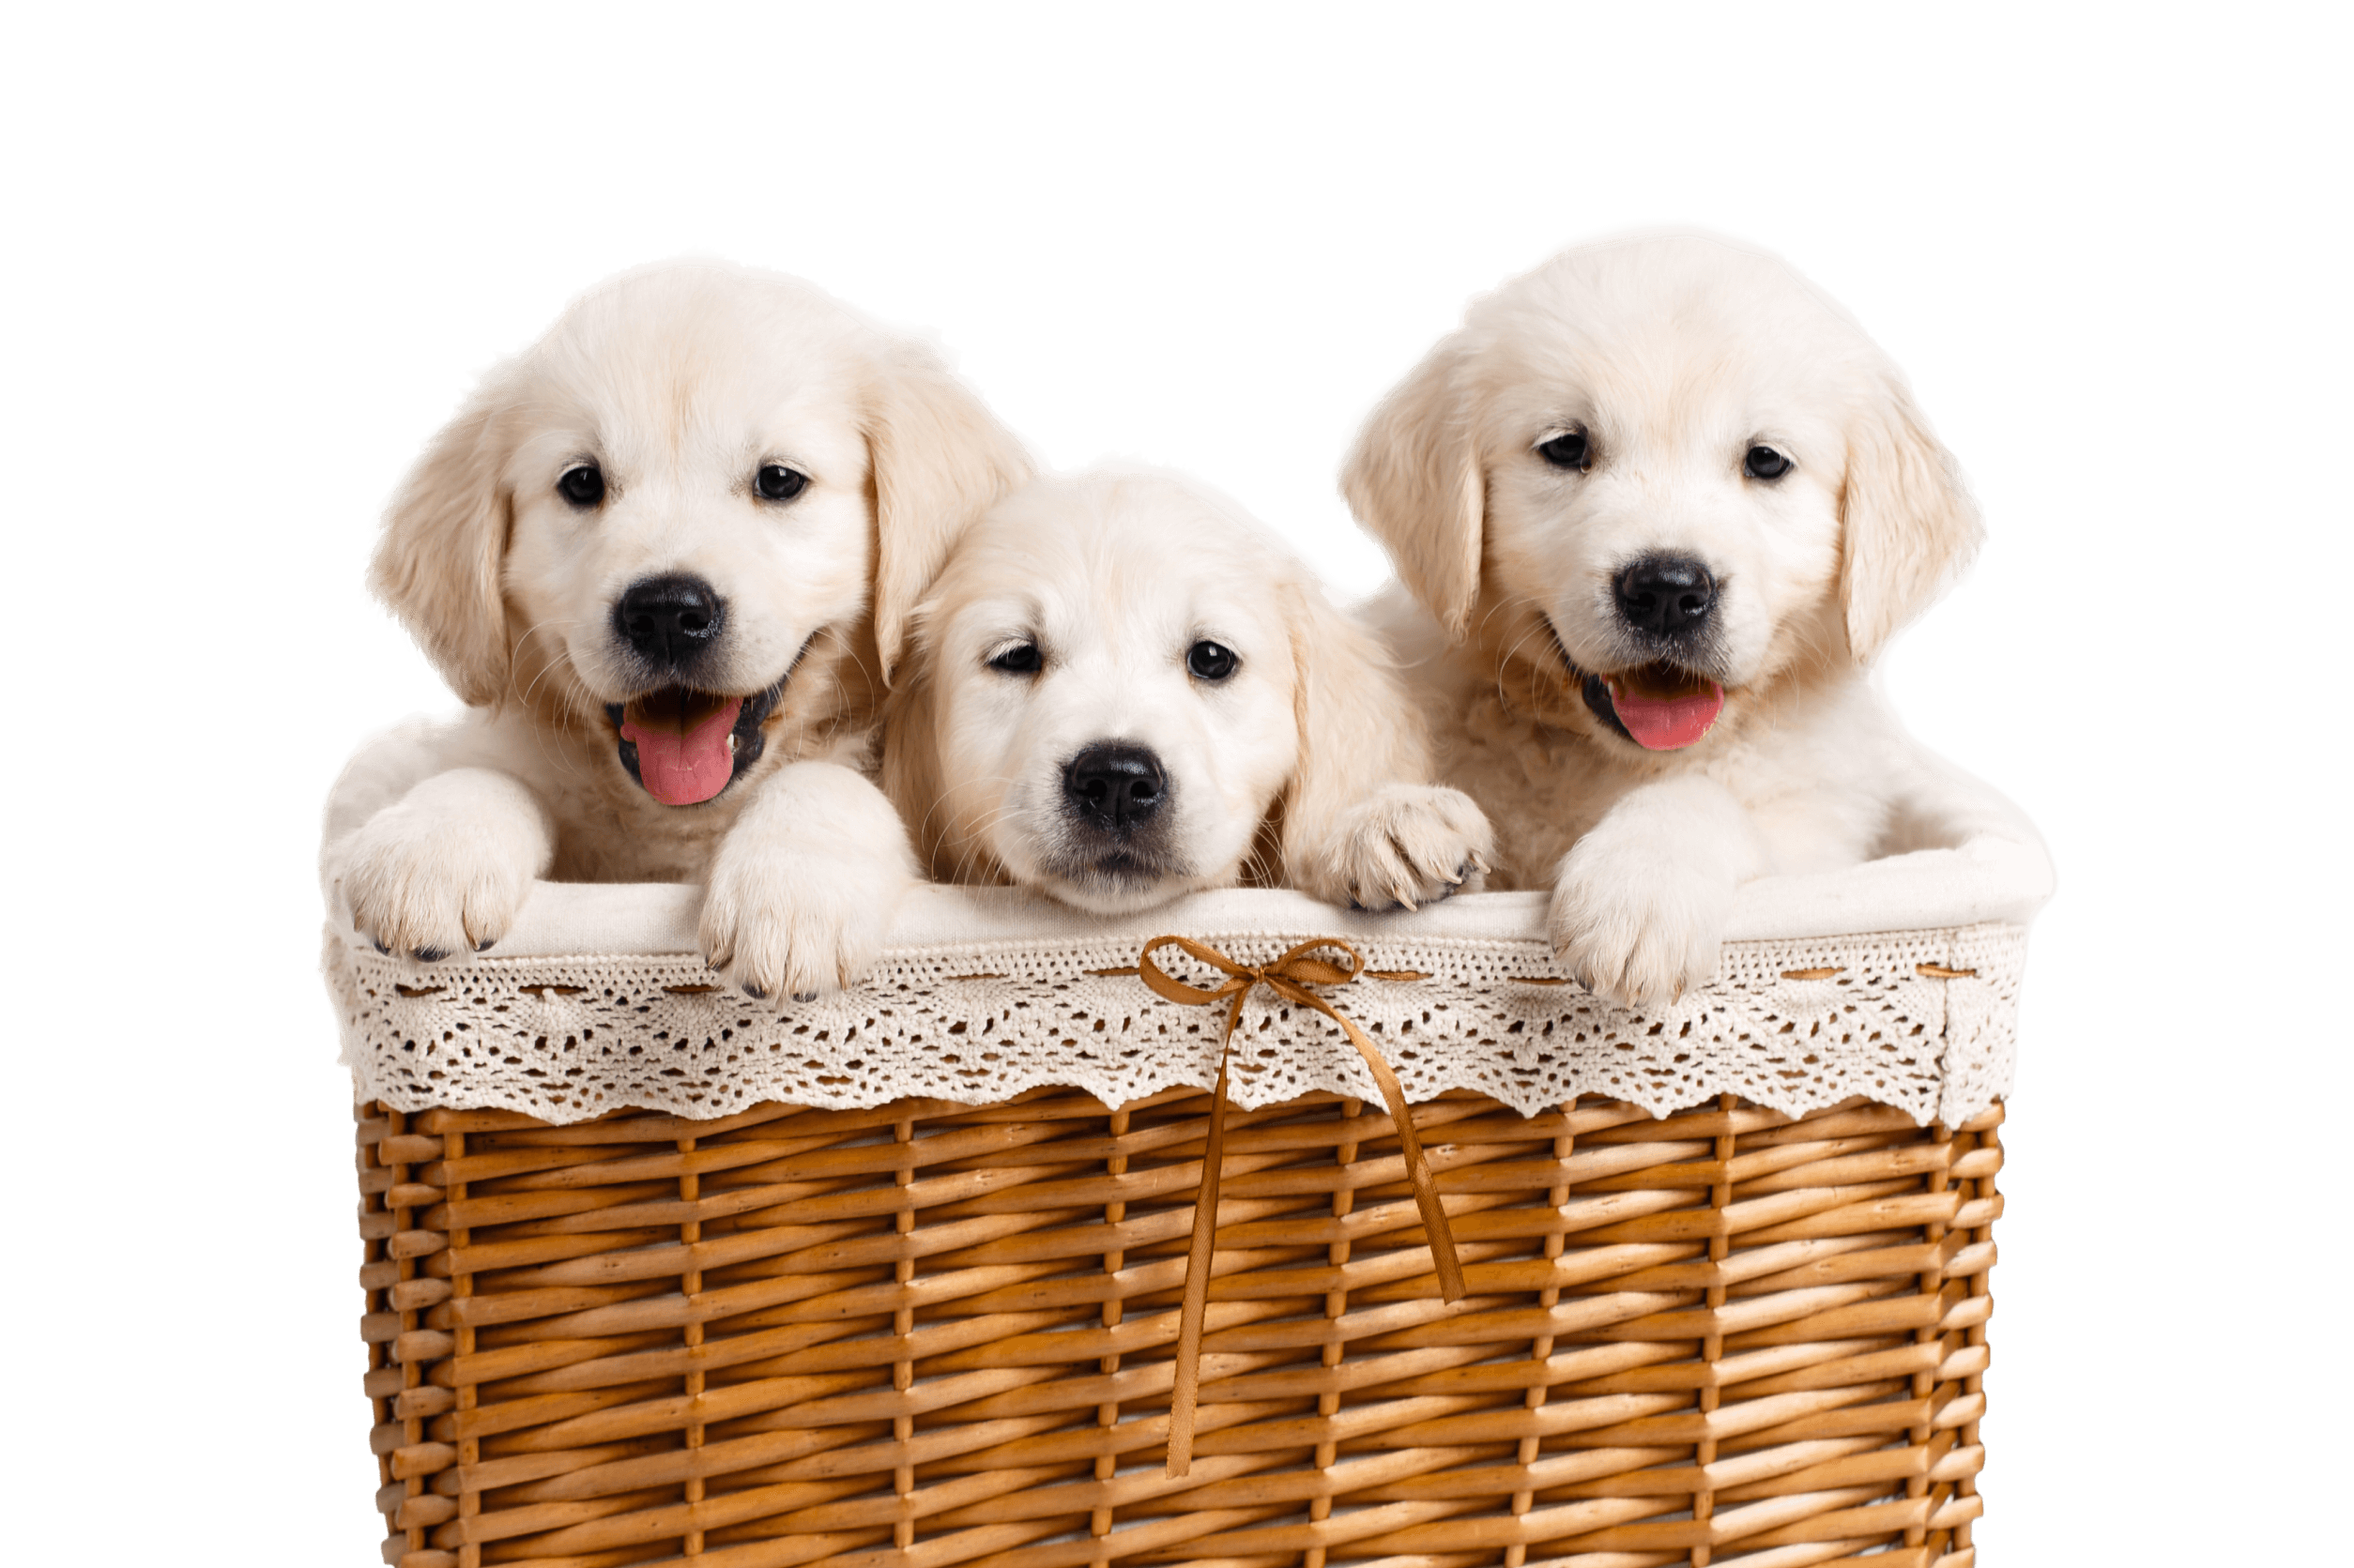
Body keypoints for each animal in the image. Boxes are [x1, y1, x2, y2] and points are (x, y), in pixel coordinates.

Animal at [325, 251, 1049, 993]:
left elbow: (825, 782)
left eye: (780, 481)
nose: (667, 613)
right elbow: (489, 772)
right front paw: (429, 848)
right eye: (582, 483)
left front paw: (788, 891)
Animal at [1337, 216, 2052, 1002]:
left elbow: (1708, 798)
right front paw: (1397, 814)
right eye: (1566, 447)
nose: (1668, 592)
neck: (1604, 757)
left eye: (1766, 461)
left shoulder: (1816, 837)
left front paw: (1638, 888)